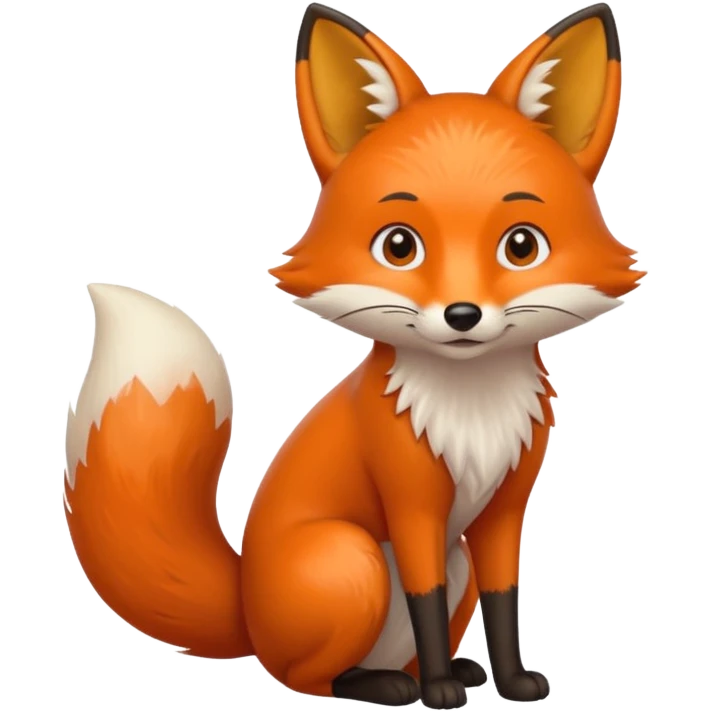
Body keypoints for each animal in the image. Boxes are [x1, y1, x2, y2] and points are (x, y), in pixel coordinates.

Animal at [63, 3, 642, 709]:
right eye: (399, 246)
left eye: (521, 246)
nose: (463, 316)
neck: (471, 411)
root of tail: (246, 608)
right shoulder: (411, 501)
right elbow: (425, 598)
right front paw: (440, 692)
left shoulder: (504, 508)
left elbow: (505, 601)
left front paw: (511, 681)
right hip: (353, 559)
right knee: (305, 677)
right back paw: (393, 684)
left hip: (452, 558)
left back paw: (445, 671)